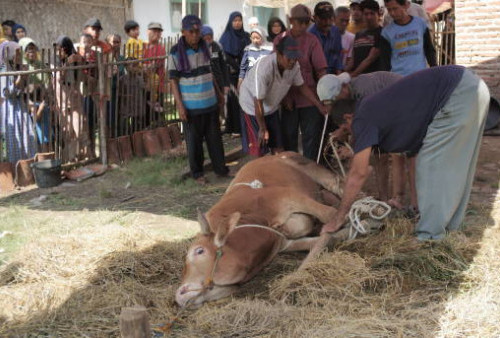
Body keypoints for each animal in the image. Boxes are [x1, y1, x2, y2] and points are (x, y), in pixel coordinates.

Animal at [176, 152, 378, 308]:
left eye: (199, 251)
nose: (179, 295)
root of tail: (273, 155)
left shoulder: (288, 196)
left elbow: (330, 215)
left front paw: (369, 217)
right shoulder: (284, 244)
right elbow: (323, 238)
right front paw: (361, 226)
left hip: (314, 171)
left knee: (336, 185)